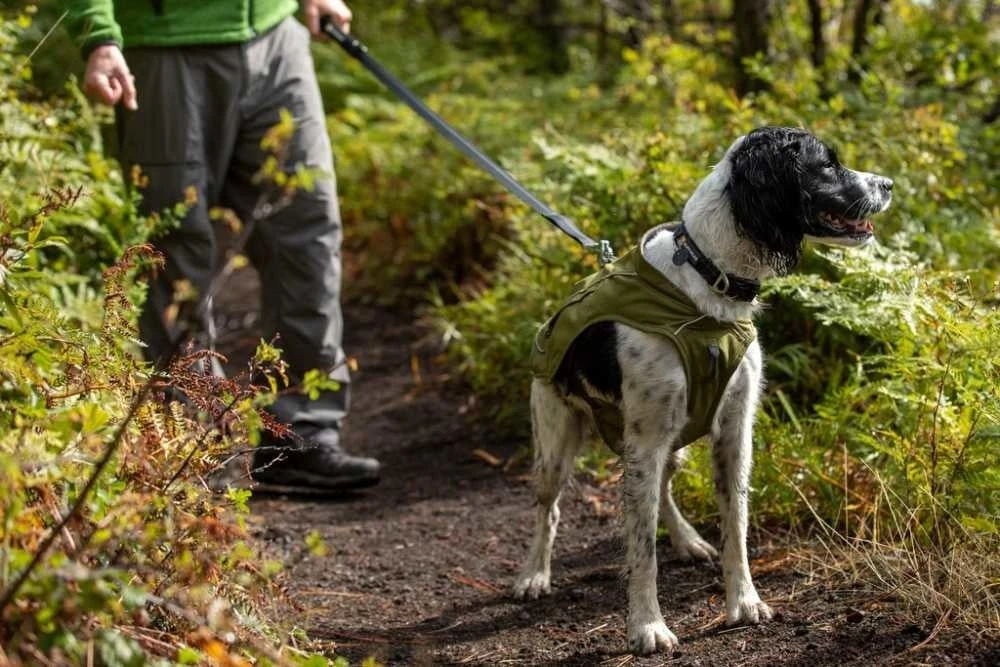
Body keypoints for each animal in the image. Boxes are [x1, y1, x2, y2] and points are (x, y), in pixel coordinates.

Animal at [512, 128, 896, 656]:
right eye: (828, 164)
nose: (889, 183)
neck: (707, 278)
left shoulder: (733, 430)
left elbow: (735, 524)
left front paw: (744, 601)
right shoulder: (646, 440)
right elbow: (642, 549)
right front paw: (647, 626)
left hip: (664, 445)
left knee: (661, 490)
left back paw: (687, 540)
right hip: (557, 440)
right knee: (548, 509)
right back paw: (534, 573)